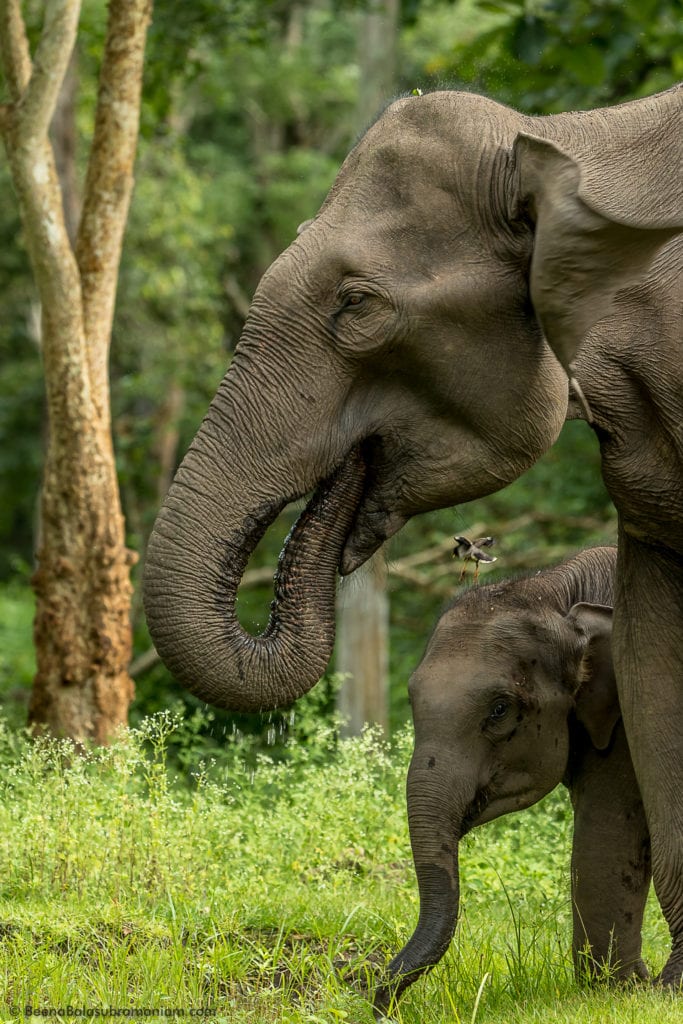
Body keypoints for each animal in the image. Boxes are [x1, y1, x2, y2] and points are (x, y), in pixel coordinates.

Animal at [374, 548, 651, 1011]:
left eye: (500, 709)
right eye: (412, 699)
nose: (378, 1000)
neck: (555, 594)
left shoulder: (628, 722)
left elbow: (607, 837)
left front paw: (628, 991)